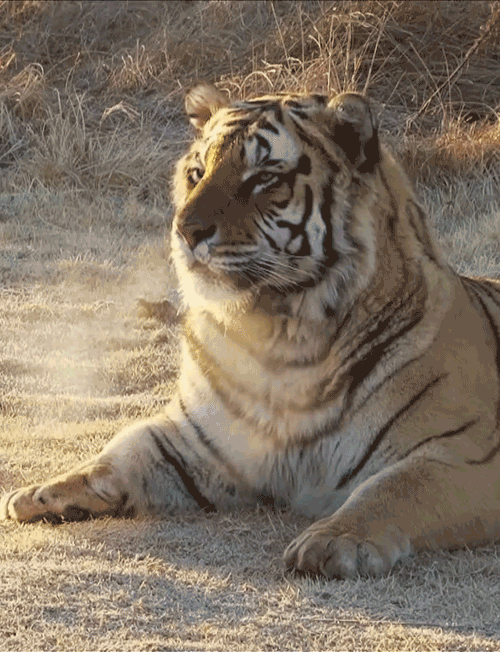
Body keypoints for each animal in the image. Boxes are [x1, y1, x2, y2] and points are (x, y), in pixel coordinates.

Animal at [2, 84, 500, 580]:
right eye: (197, 172)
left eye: (262, 179)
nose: (185, 230)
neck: (282, 341)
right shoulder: (196, 442)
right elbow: (123, 449)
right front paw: (40, 492)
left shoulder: (464, 453)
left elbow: (395, 487)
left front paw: (333, 541)